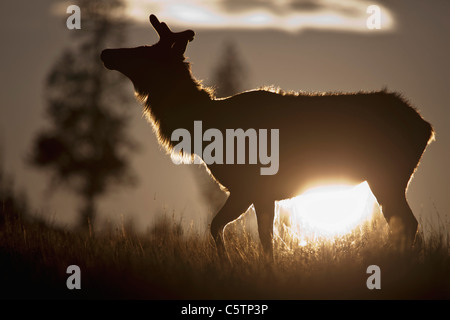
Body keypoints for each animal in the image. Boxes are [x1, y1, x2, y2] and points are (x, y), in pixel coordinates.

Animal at [101, 15, 432, 256]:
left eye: (145, 52)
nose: (106, 52)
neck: (205, 129)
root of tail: (427, 128)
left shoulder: (249, 186)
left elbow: (220, 228)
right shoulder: (262, 193)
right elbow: (262, 237)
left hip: (387, 175)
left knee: (406, 222)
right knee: (404, 222)